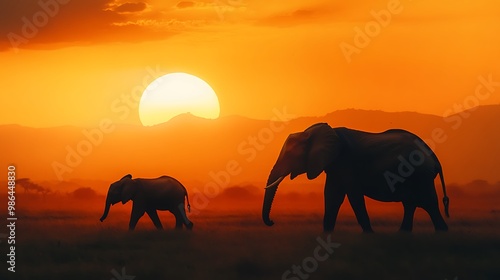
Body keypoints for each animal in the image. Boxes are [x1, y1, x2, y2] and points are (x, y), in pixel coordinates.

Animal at [262, 123, 450, 233]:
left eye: (290, 155)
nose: (272, 222)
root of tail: (433, 156)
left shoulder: (346, 162)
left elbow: (353, 196)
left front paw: (370, 235)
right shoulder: (335, 166)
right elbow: (332, 196)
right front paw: (326, 235)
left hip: (421, 175)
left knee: (428, 203)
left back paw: (441, 233)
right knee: (411, 204)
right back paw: (403, 235)